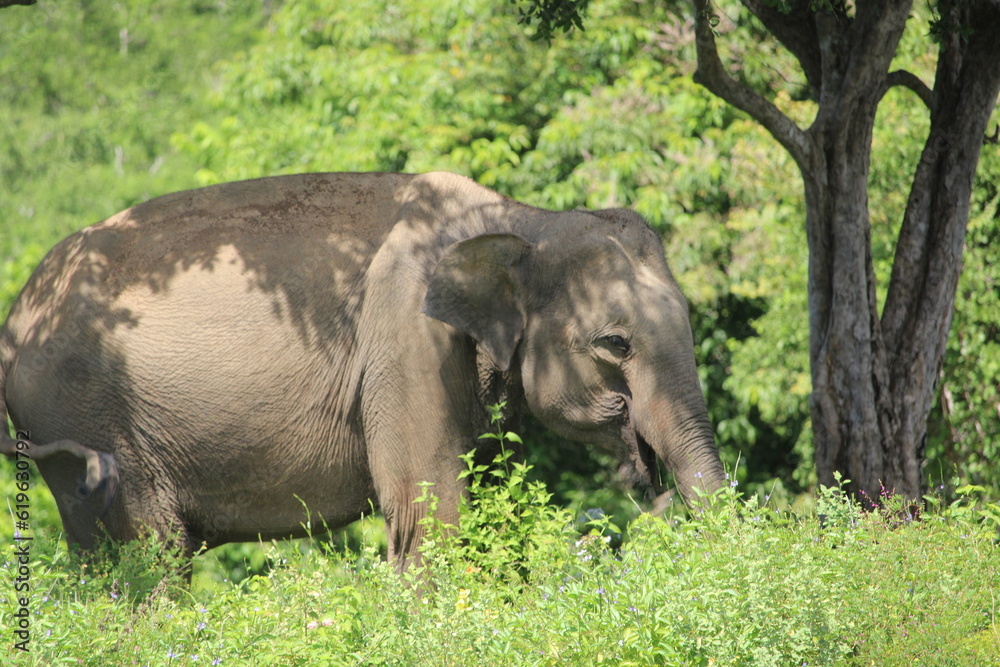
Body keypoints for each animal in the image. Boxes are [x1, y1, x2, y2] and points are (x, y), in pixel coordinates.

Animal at [0, 171, 726, 568]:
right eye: (615, 343)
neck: (520, 219)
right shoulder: (405, 342)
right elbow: (429, 510)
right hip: (84, 414)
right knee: (143, 555)